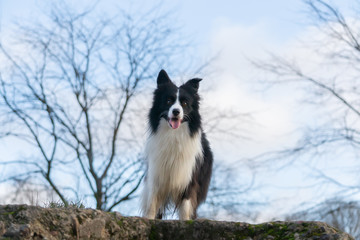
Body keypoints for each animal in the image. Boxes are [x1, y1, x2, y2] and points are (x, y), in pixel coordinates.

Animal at [141, 69, 214, 219]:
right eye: (169, 100)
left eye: (185, 103)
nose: (176, 111)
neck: (173, 135)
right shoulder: (156, 174)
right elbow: (152, 202)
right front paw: (149, 219)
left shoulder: (188, 176)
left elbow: (185, 206)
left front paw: (186, 221)